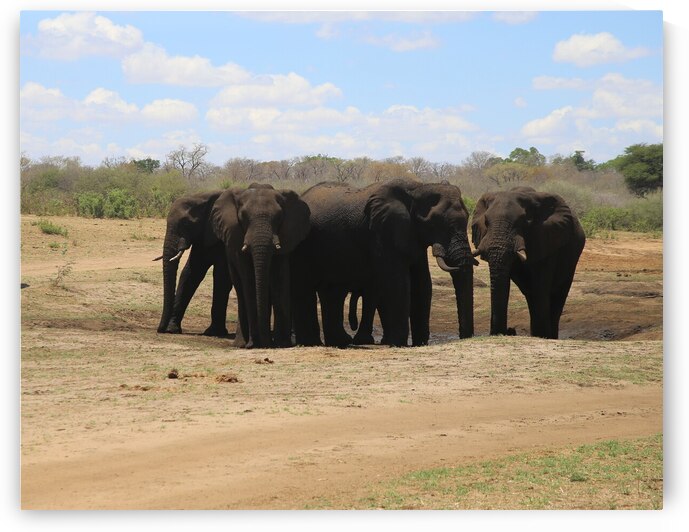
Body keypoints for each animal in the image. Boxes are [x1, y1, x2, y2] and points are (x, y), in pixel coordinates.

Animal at [155, 190, 231, 336]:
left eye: (186, 224)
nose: (159, 330)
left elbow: (222, 276)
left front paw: (214, 332)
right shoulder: (204, 235)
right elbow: (191, 273)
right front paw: (172, 329)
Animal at [210, 184, 311, 349]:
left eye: (279, 217)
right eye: (243, 217)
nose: (264, 344)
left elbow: (279, 279)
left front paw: (282, 344)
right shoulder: (237, 238)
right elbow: (248, 279)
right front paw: (253, 343)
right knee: (240, 289)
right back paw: (241, 343)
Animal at [291, 178, 475, 348]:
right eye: (436, 221)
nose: (465, 337)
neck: (418, 187)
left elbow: (422, 283)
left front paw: (419, 343)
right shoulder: (383, 232)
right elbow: (398, 282)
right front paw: (398, 344)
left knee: (332, 291)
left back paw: (339, 342)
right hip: (302, 246)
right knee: (305, 287)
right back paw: (312, 343)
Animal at [471, 186, 586, 339]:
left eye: (525, 221)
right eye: (486, 222)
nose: (510, 330)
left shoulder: (546, 239)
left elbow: (540, 285)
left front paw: (542, 336)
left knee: (557, 295)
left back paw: (548, 336)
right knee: (531, 296)